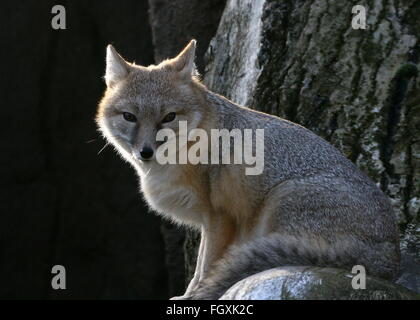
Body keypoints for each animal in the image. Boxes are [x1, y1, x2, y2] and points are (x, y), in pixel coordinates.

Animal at [96, 40, 400, 300]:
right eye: (129, 117)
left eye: (169, 117)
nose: (145, 152)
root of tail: (391, 255)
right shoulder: (210, 221)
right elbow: (200, 268)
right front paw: (187, 295)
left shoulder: (220, 215)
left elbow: (206, 266)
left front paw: (197, 295)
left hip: (280, 200)